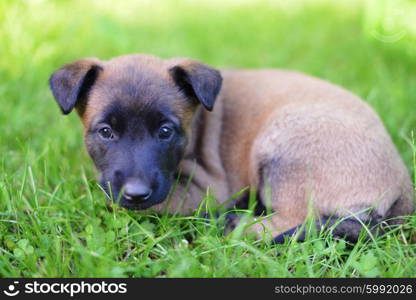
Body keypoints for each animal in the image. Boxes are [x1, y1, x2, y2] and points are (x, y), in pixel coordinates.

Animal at [48, 54, 412, 241]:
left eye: (166, 131)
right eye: (105, 132)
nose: (136, 193)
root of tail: (404, 186)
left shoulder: (208, 189)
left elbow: (133, 204)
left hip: (284, 140)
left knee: (294, 220)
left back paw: (236, 224)